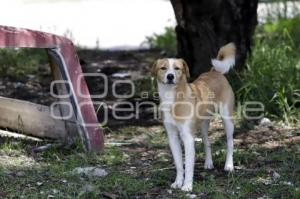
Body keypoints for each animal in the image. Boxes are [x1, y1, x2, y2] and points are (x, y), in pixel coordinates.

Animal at [151, 43, 236, 191]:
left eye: (177, 68)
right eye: (163, 68)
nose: (170, 76)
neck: (173, 99)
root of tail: (214, 72)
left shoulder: (188, 138)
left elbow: (189, 165)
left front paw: (187, 186)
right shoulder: (172, 137)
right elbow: (179, 164)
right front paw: (178, 182)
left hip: (227, 119)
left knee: (230, 142)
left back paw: (229, 165)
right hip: (203, 125)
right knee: (207, 142)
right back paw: (208, 163)